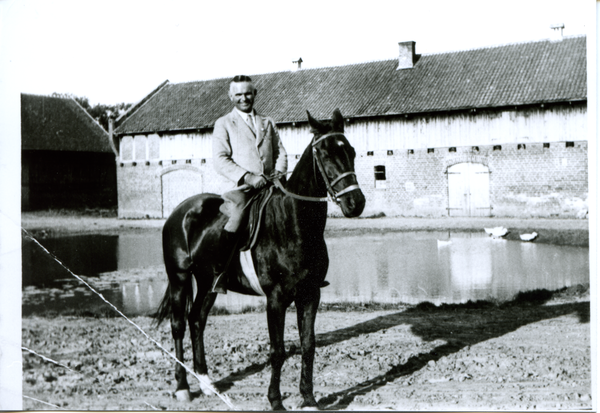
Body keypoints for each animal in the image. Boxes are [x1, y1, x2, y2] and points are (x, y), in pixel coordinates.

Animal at [155, 107, 366, 408]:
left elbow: (308, 345)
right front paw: (275, 400)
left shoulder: (310, 294)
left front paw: (309, 398)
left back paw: (206, 383)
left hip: (208, 284)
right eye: (325, 154)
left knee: (197, 321)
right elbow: (277, 350)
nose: (355, 203)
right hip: (180, 278)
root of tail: (180, 212)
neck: (295, 224)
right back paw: (183, 387)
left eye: (351, 151)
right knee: (179, 325)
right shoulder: (275, 298)